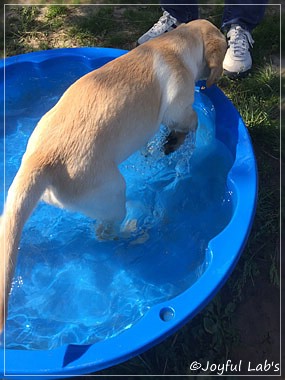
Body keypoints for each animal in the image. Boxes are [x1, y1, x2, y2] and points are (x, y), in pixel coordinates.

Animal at [0, 19, 226, 332]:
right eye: (226, 50)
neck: (174, 45)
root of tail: (41, 158)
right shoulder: (179, 109)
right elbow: (190, 121)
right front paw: (175, 143)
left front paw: (155, 150)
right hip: (113, 192)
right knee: (106, 233)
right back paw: (134, 229)